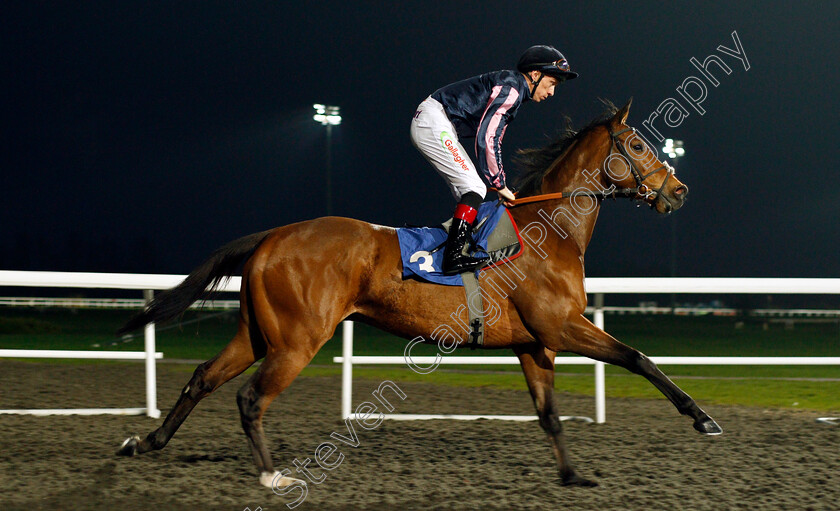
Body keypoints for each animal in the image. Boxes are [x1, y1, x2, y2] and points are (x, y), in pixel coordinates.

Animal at [116, 99, 720, 488]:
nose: (680, 191)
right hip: (296, 341)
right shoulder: (562, 326)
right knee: (249, 398)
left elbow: (549, 413)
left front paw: (572, 476)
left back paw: (144, 443)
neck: (550, 231)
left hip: (257, 334)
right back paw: (270, 475)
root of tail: (272, 236)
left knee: (203, 378)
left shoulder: (533, 343)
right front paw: (702, 418)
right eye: (638, 143)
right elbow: (638, 358)